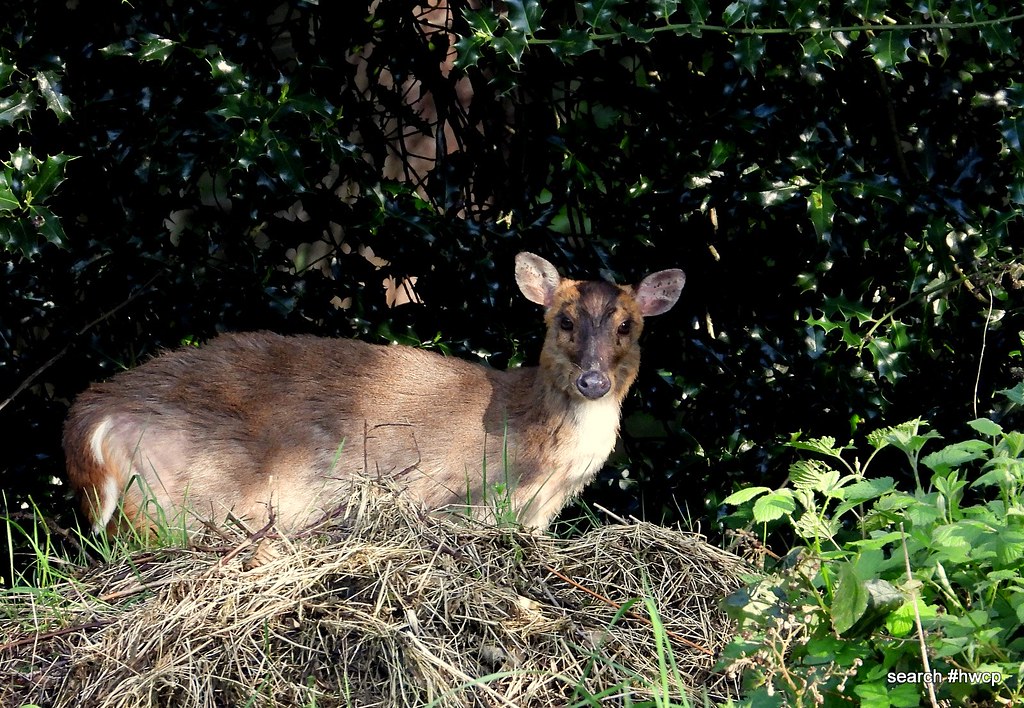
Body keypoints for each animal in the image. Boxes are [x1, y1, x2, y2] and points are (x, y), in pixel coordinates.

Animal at [63, 252, 685, 535]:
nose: (592, 381)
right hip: (187, 492)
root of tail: (89, 418)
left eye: (627, 326)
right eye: (564, 321)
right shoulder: (468, 496)